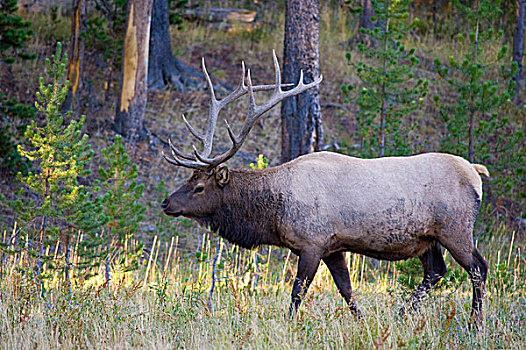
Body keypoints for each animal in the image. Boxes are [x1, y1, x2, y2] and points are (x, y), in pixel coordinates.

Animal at [162, 51, 490, 326]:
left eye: (199, 187)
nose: (166, 203)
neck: (274, 213)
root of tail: (476, 172)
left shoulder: (312, 242)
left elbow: (297, 292)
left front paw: (289, 325)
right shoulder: (334, 246)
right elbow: (346, 290)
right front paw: (362, 322)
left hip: (456, 227)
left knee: (478, 268)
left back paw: (474, 324)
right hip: (427, 238)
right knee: (436, 270)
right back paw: (401, 315)